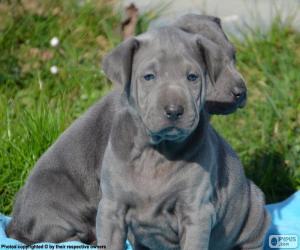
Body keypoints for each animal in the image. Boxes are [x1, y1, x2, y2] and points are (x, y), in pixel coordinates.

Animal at [96, 25, 270, 250]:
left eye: (192, 77)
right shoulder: (111, 209)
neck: (155, 153)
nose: (174, 110)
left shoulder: (196, 212)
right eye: (149, 77)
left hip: (254, 209)